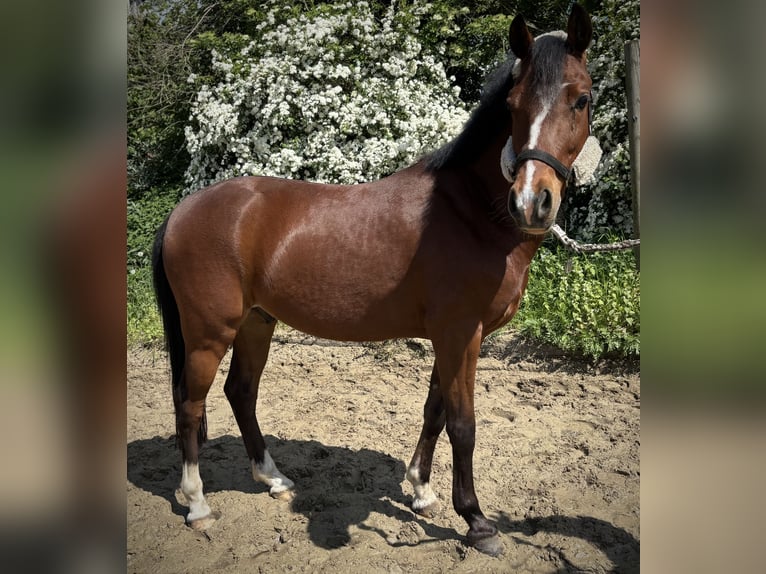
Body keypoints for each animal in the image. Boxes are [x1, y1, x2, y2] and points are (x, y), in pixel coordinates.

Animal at [151, 5, 593, 556]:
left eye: (581, 99)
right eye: (513, 106)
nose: (532, 202)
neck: (467, 211)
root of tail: (182, 211)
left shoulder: (453, 337)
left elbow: (434, 411)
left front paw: (422, 491)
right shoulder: (460, 334)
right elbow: (463, 424)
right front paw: (476, 520)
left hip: (257, 322)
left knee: (241, 392)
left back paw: (273, 478)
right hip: (210, 332)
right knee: (190, 404)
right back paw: (197, 504)